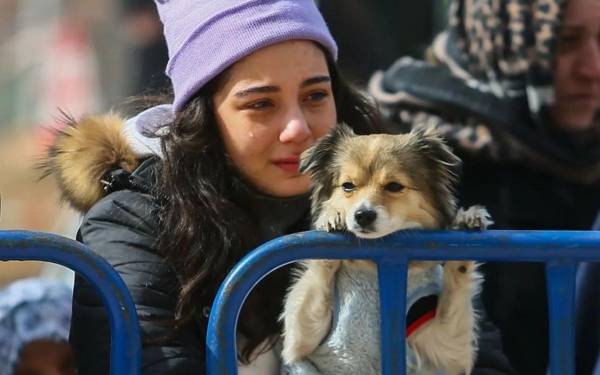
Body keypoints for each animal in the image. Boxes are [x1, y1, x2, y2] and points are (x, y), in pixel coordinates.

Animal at [278, 125, 490, 374]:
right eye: (348, 186)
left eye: (394, 186)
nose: (362, 215)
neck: (374, 268)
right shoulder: (301, 343)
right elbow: (313, 288)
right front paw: (332, 216)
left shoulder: (443, 350)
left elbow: (453, 303)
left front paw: (465, 221)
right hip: (304, 368)